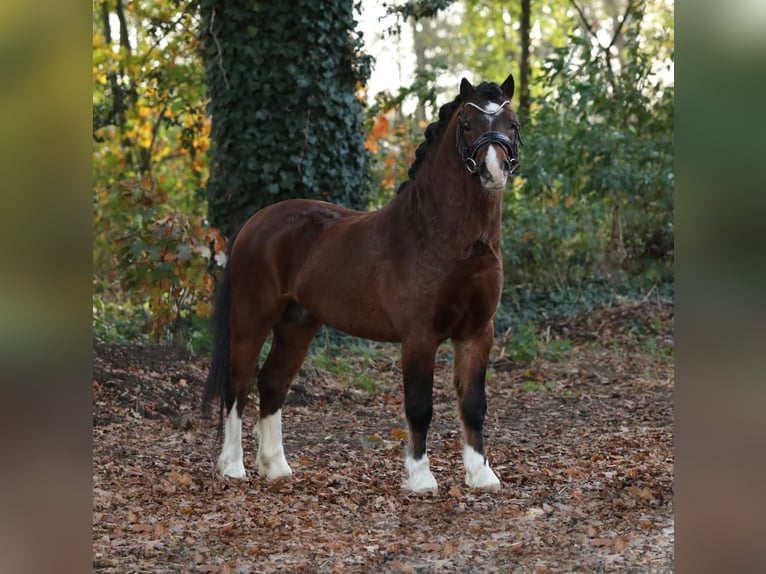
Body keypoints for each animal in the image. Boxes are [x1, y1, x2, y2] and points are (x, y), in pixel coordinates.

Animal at [204, 73, 524, 496]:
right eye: (468, 124)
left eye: (512, 124)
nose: (494, 170)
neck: (440, 235)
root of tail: (255, 222)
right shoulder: (419, 336)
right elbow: (419, 406)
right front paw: (420, 478)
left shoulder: (477, 333)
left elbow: (473, 404)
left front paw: (481, 475)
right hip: (251, 317)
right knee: (237, 383)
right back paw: (231, 466)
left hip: (297, 324)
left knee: (272, 383)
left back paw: (276, 468)